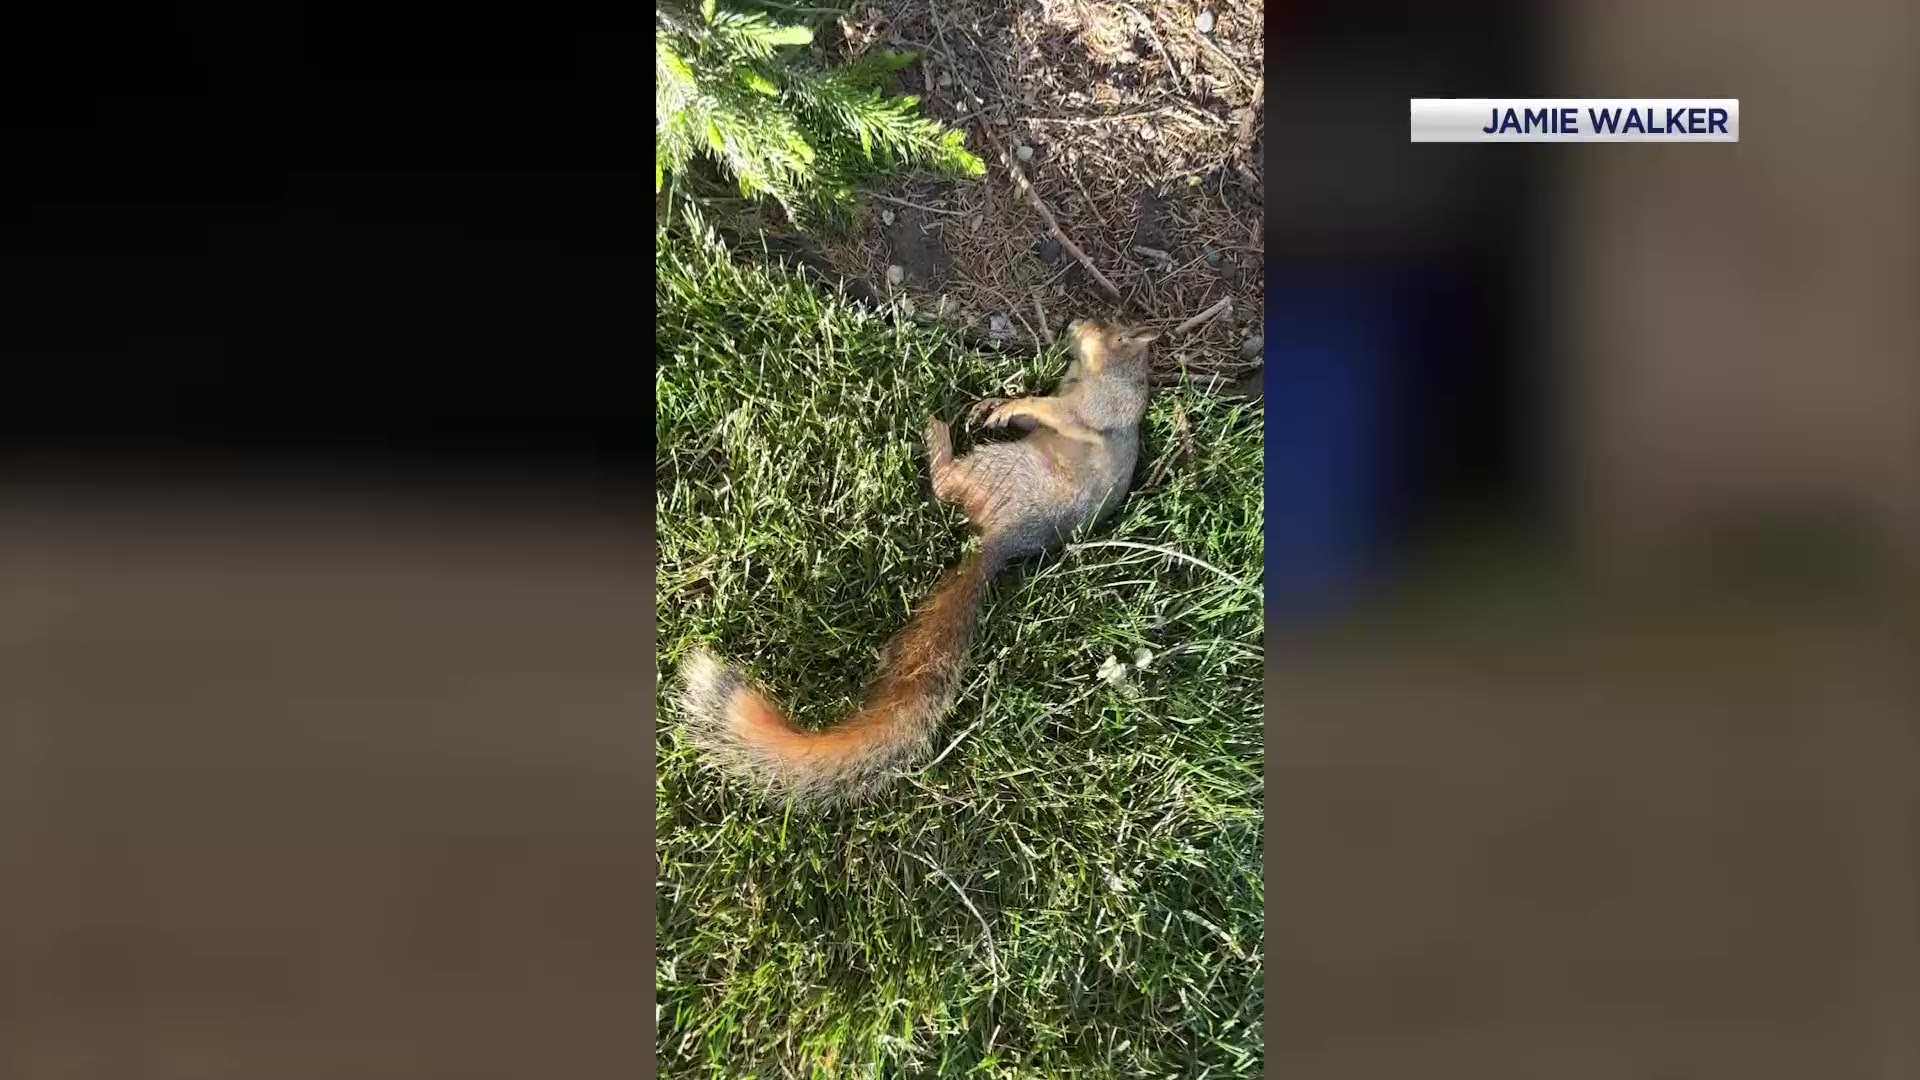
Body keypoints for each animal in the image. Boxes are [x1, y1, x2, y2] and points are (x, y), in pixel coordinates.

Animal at [676, 317, 1159, 804]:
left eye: (1112, 329)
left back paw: (936, 431)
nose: (1073, 324)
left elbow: (1060, 412)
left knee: (946, 484)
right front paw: (996, 405)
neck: (1093, 371)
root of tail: (1004, 537)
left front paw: (1014, 403)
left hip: (1003, 466)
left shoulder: (1099, 405)